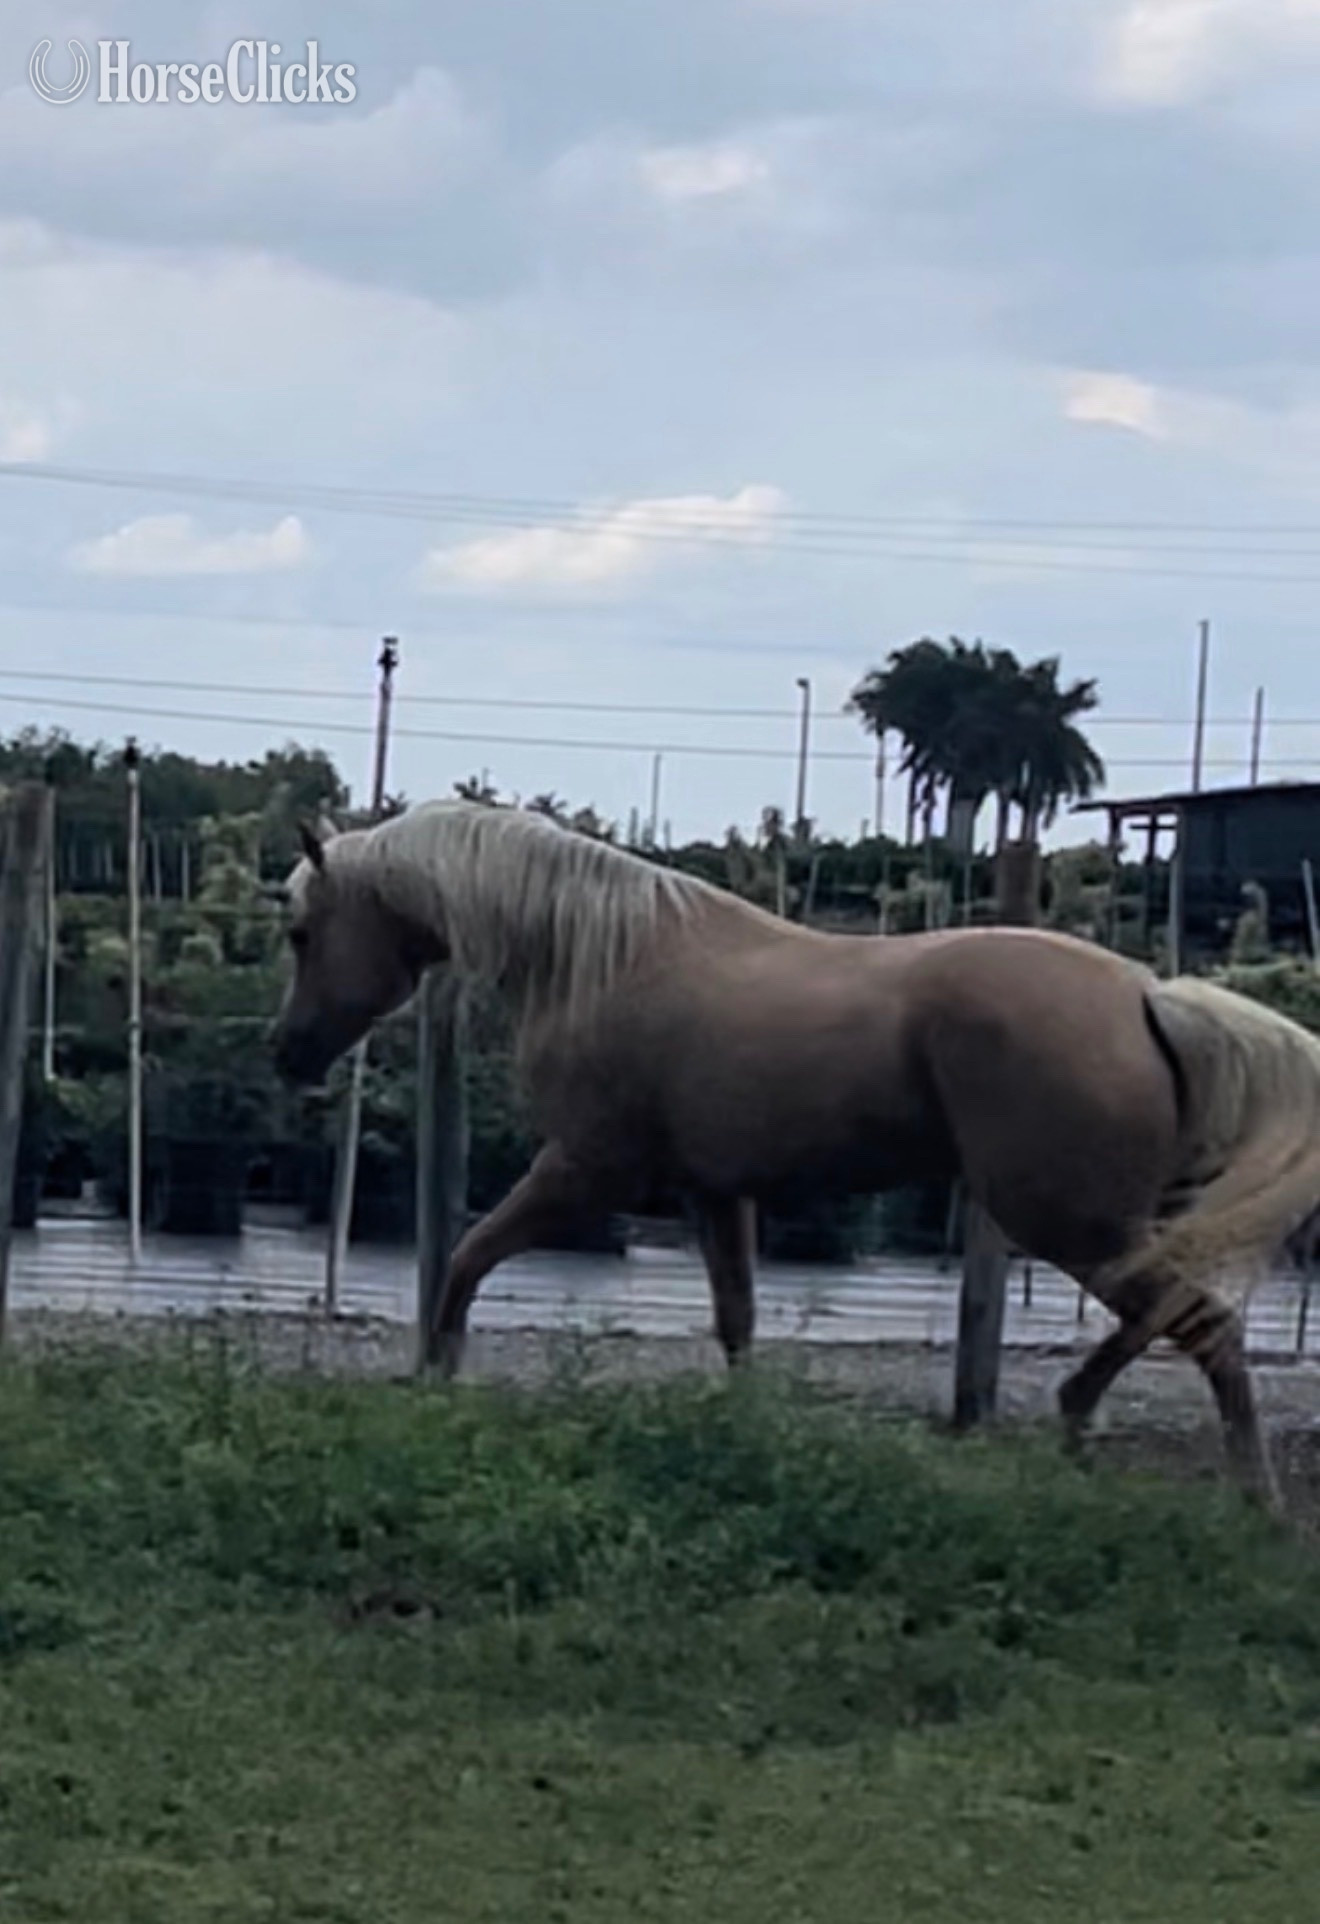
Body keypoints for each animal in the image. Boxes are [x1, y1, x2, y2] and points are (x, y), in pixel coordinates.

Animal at [270, 798, 1320, 1506]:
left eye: (302, 931)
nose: (288, 1054)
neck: (597, 957)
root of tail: (1147, 995)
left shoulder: (584, 1169)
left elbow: (466, 1256)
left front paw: (435, 1376)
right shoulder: (715, 1193)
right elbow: (736, 1320)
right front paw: (744, 1433)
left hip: (1063, 1218)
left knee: (1202, 1323)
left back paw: (1244, 1496)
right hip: (1111, 1219)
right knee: (1183, 1315)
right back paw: (1085, 1421)